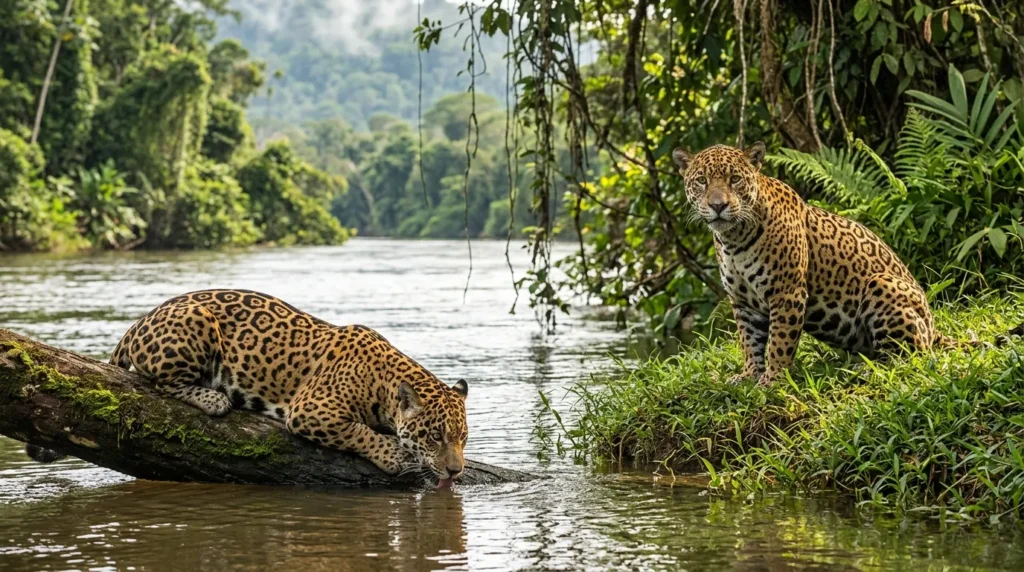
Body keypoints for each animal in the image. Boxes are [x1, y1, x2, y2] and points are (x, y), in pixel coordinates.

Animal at [107, 289, 469, 484]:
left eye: (463, 438)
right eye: (435, 436)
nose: (456, 472)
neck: (382, 381)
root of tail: (140, 320)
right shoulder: (312, 410)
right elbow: (357, 431)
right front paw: (392, 454)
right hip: (196, 320)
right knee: (160, 382)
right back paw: (214, 398)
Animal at [671, 142, 1002, 387]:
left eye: (734, 179)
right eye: (701, 181)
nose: (718, 205)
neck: (734, 239)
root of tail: (934, 326)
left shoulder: (787, 294)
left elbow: (778, 342)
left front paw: (773, 380)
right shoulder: (742, 302)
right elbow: (749, 341)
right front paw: (750, 375)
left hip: (882, 285)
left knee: (914, 353)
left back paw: (868, 369)